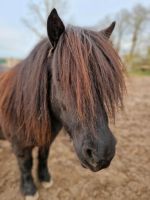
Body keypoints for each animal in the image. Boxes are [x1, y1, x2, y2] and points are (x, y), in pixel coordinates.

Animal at [0, 8, 126, 199]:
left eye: (105, 80)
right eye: (62, 78)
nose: (102, 153)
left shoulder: (47, 139)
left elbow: (43, 156)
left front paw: (45, 178)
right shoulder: (20, 146)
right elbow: (26, 165)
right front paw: (29, 190)